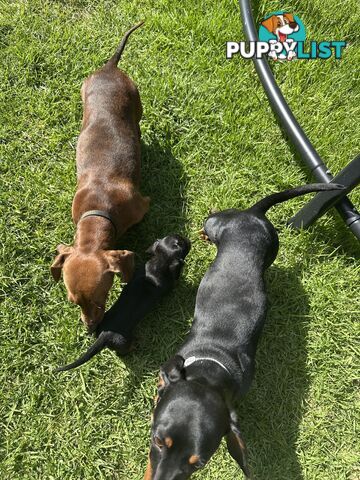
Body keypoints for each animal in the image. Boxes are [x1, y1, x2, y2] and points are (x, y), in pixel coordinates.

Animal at [145, 182, 344, 478]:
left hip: (272, 247)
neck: (209, 366)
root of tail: (254, 214)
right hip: (217, 224)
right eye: (158, 440)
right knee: (210, 221)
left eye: (199, 463)